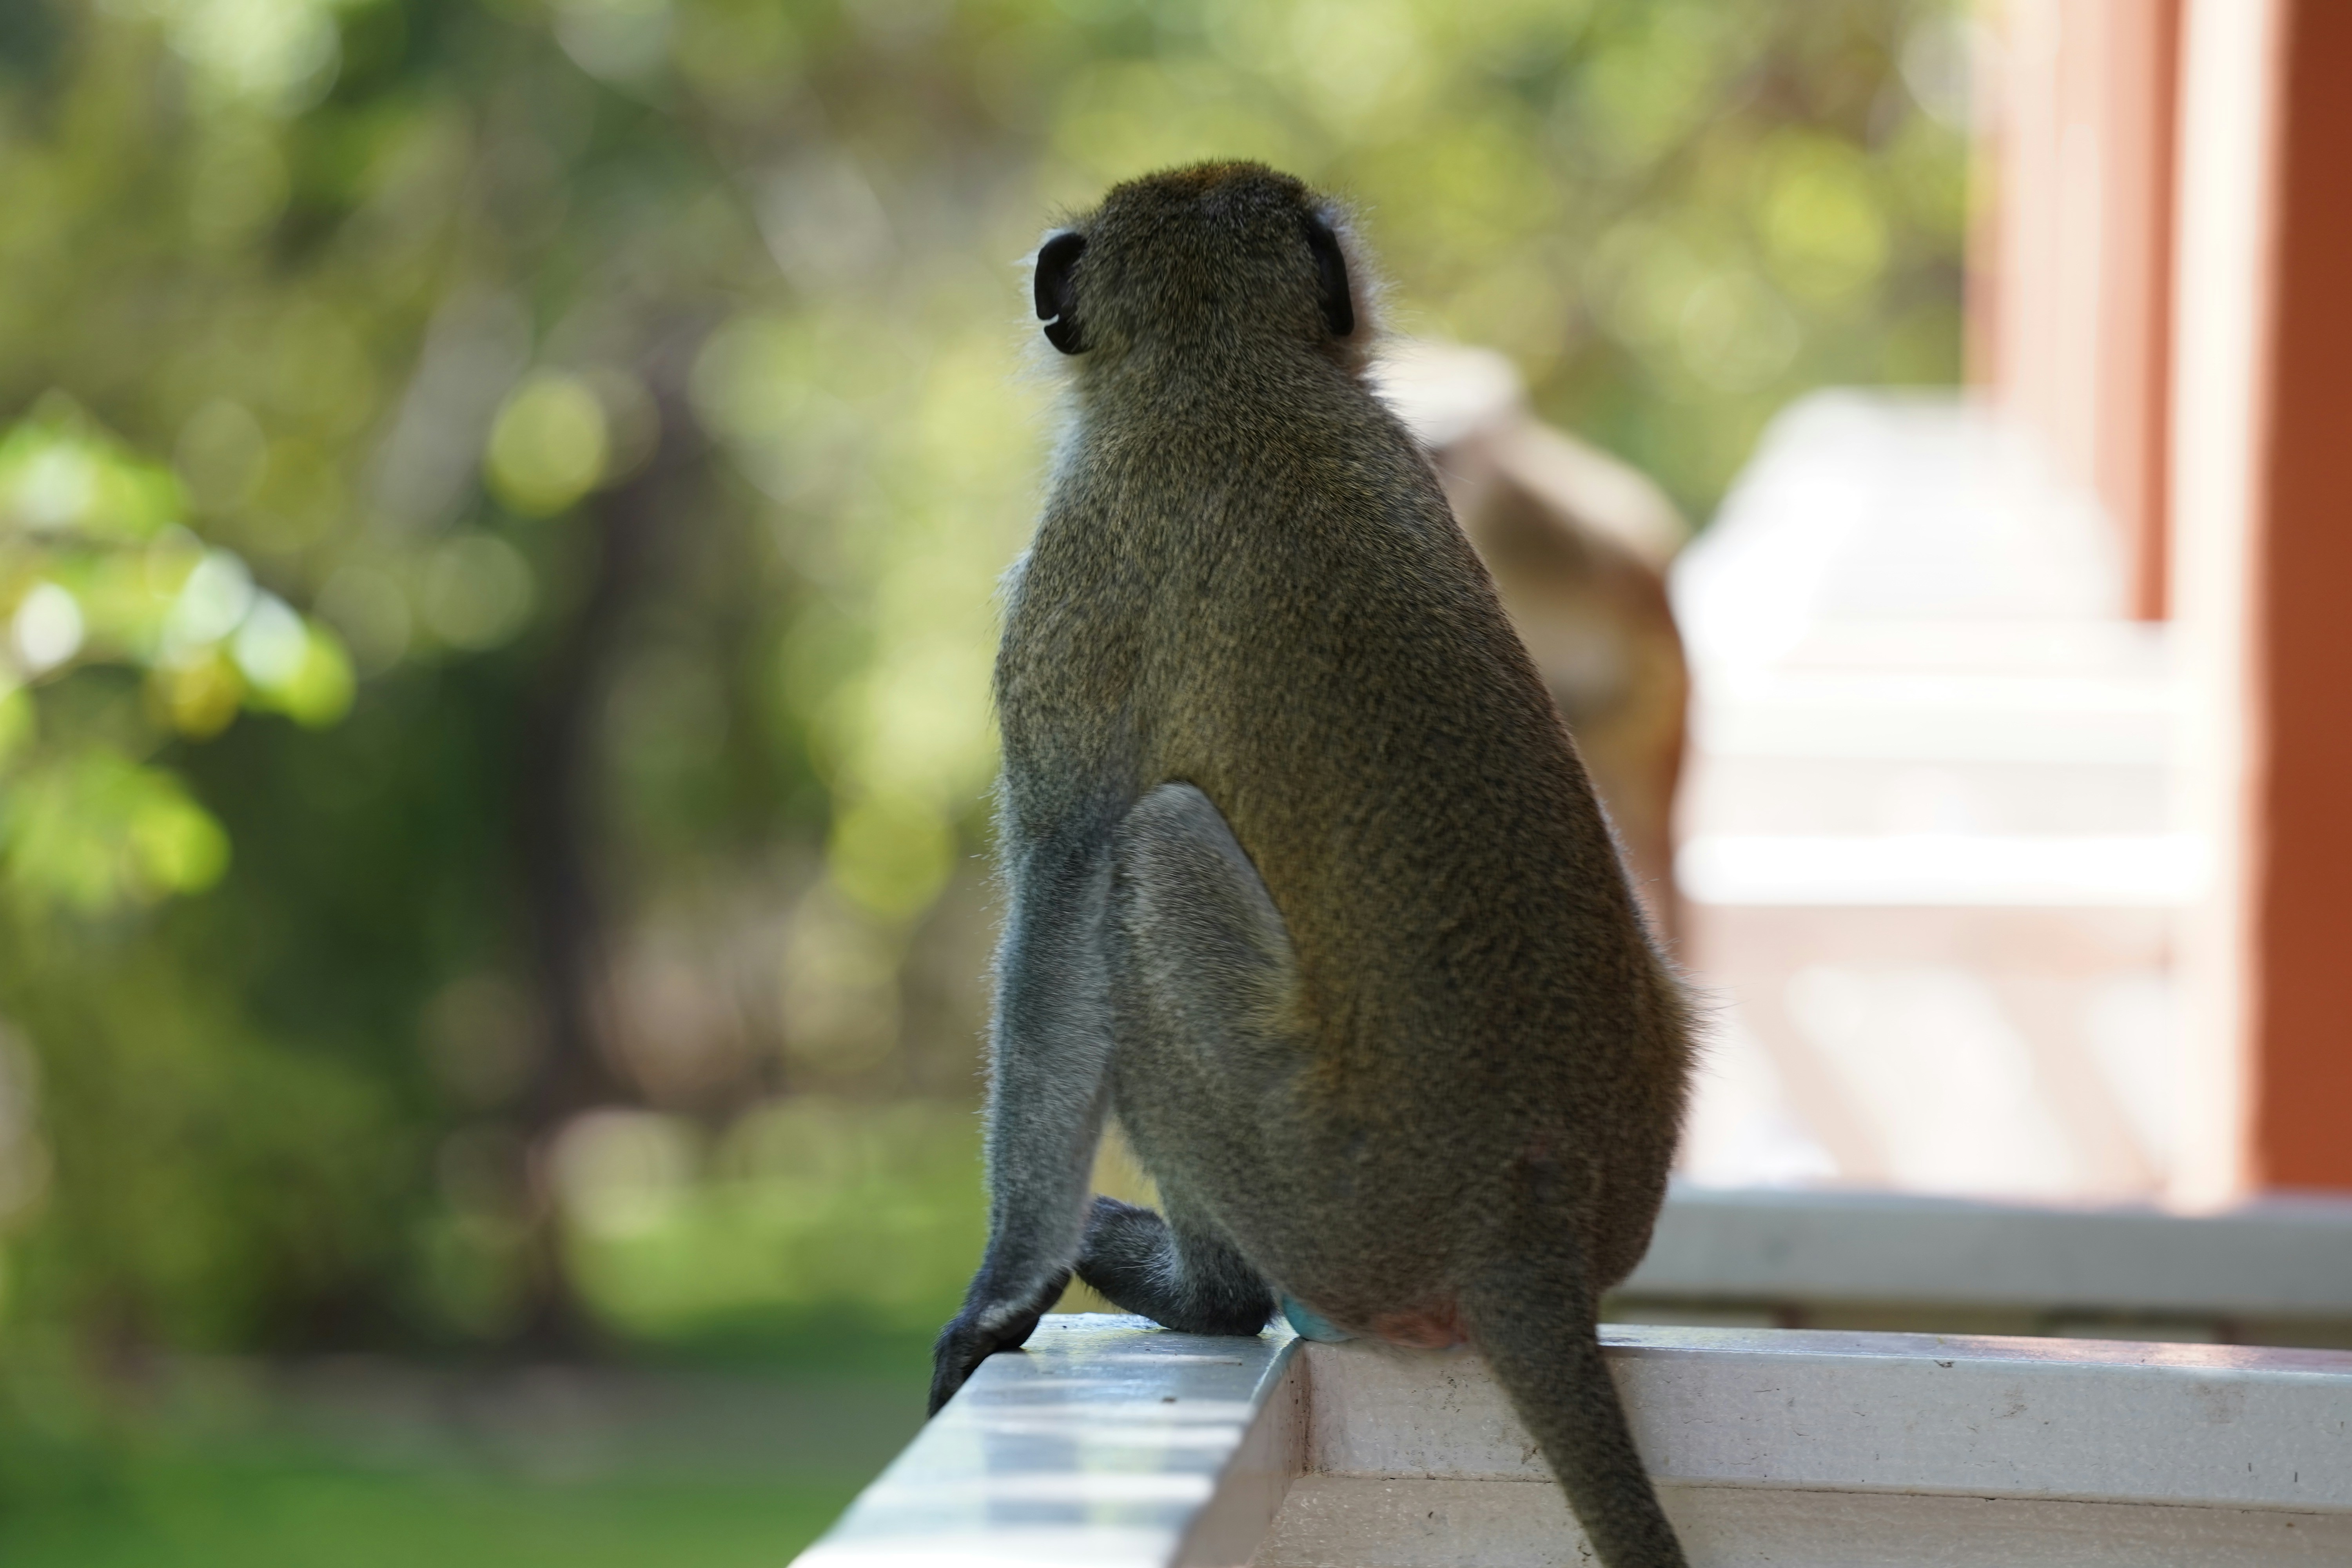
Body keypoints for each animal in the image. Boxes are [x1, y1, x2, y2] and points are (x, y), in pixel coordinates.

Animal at [930, 162, 1695, 1568]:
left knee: (1141, 858)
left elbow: (1061, 886)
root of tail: (1529, 1219)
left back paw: (1211, 1294)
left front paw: (999, 1297)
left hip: (1321, 1188)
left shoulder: (1069, 586)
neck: (1229, 363)